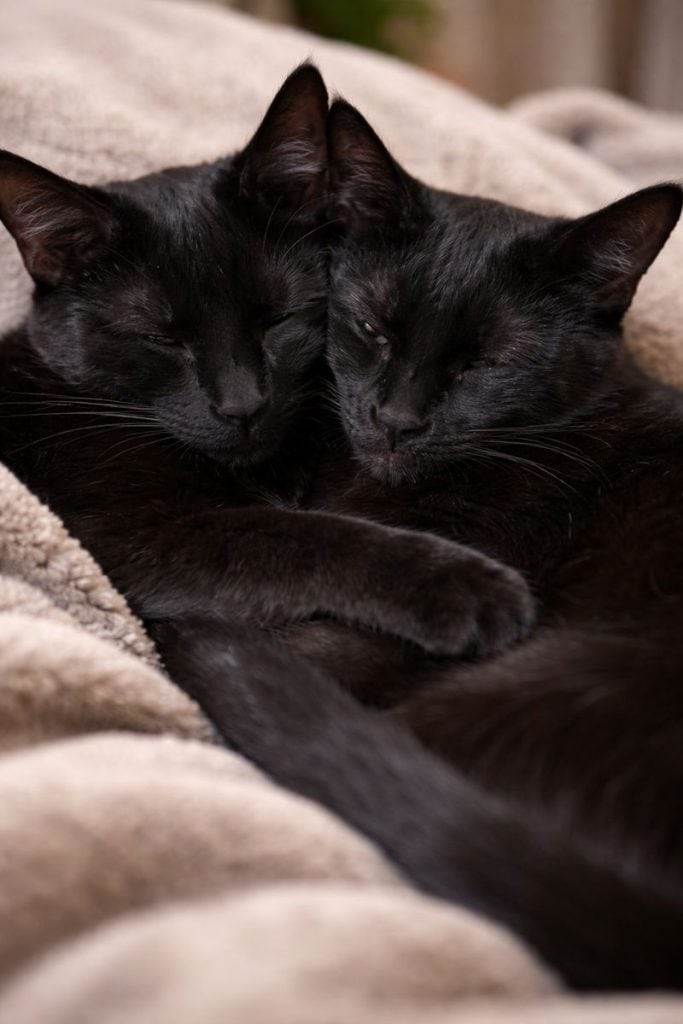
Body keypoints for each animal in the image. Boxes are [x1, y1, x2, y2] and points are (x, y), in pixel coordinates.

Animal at [0, 65, 534, 660]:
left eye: (277, 318)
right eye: (160, 338)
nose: (244, 406)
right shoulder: (126, 536)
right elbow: (305, 536)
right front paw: (466, 584)